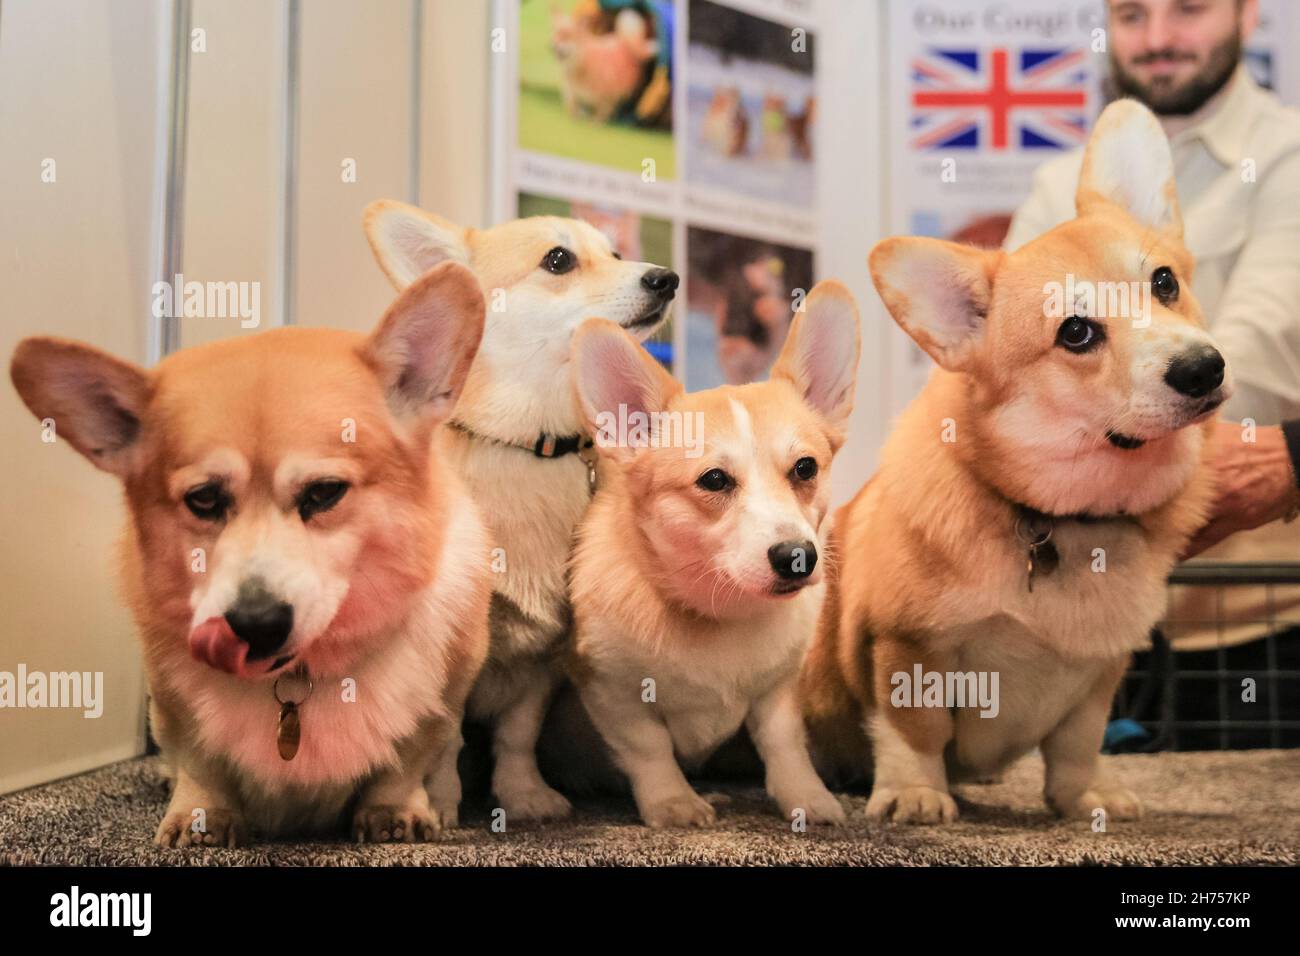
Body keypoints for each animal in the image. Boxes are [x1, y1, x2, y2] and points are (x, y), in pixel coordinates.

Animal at [8, 261, 491, 842]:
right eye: (204, 499)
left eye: (325, 492)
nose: (256, 624)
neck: (300, 676)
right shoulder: (172, 703)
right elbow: (199, 762)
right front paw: (200, 818)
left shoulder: (444, 697)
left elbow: (410, 758)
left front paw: (395, 811)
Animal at [361, 197, 676, 816]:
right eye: (558, 260)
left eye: (616, 253)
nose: (668, 278)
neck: (533, 447)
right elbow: (446, 733)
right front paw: (441, 801)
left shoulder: (544, 659)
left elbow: (517, 734)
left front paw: (523, 794)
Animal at [572, 280, 857, 827]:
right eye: (714, 480)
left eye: (805, 468)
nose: (798, 557)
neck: (722, 612)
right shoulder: (612, 692)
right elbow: (650, 747)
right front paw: (674, 802)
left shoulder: (778, 691)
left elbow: (784, 745)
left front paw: (806, 798)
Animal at [795, 100, 1232, 827]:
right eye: (1075, 333)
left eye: (1165, 282)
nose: (1204, 369)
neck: (1063, 522)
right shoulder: (904, 647)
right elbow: (914, 731)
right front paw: (917, 793)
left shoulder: (1098, 675)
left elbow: (1078, 744)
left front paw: (1085, 798)